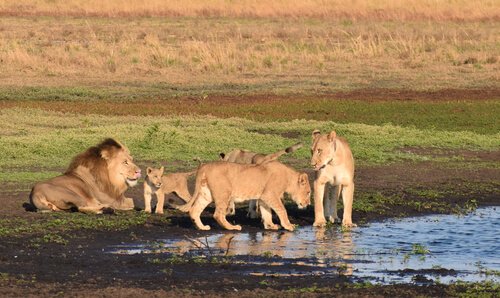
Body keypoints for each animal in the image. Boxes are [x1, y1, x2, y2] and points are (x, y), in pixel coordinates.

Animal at [176, 162, 308, 232]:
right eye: (308, 192)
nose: (308, 204)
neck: (289, 178)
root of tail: (205, 166)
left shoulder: (263, 197)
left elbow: (266, 212)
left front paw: (271, 226)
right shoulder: (270, 195)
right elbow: (282, 210)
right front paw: (289, 226)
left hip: (206, 194)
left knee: (194, 210)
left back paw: (202, 227)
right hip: (224, 193)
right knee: (218, 214)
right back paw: (232, 227)